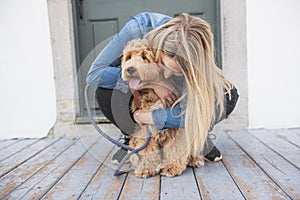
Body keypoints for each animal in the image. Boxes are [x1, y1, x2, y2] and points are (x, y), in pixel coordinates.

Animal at [121, 39, 204, 178]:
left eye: (144, 56)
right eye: (129, 57)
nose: (130, 69)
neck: (152, 91)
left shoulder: (174, 125)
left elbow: (175, 148)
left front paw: (172, 167)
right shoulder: (144, 128)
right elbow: (147, 149)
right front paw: (146, 168)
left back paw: (195, 159)